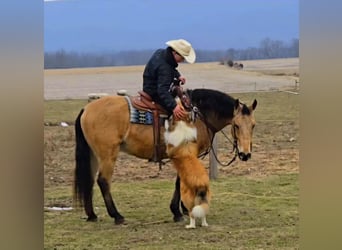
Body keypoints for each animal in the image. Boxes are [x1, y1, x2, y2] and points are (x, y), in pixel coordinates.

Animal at [74, 88, 256, 225]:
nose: (245, 154)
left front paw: (182, 209)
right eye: (236, 125)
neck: (199, 116)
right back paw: (117, 216)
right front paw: (179, 211)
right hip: (108, 154)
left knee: (89, 180)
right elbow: (181, 181)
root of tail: (86, 109)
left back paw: (92, 215)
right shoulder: (187, 153)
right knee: (103, 181)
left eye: (253, 125)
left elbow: (181, 180)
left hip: (94, 154)